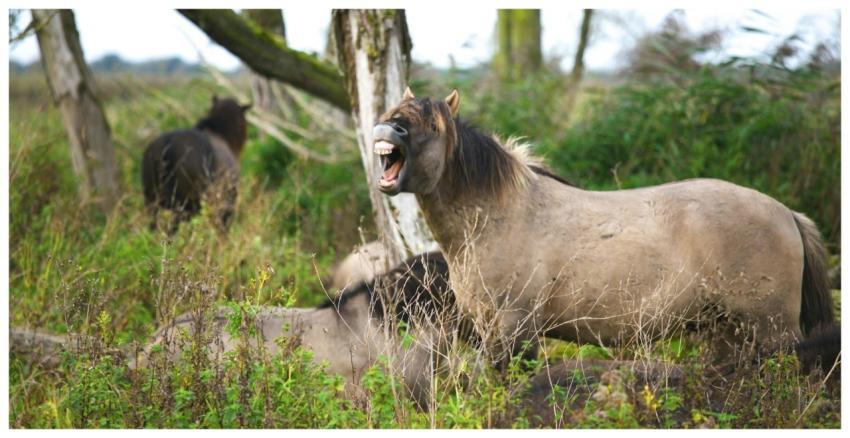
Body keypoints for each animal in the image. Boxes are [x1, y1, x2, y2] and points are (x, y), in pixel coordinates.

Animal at [371, 87, 835, 366]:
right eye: (394, 113)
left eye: (431, 126)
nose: (387, 129)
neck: (497, 218)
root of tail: (787, 214)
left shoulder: (514, 331)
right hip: (730, 334)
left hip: (770, 332)